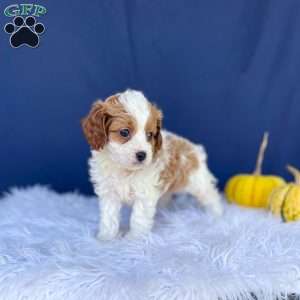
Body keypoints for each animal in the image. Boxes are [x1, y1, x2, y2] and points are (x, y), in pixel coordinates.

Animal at [82, 90, 223, 240]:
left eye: (149, 135)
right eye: (124, 132)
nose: (142, 155)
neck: (125, 169)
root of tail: (196, 149)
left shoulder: (144, 195)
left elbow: (138, 219)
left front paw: (134, 239)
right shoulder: (109, 193)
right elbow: (109, 218)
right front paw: (106, 238)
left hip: (198, 182)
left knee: (211, 196)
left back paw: (217, 214)